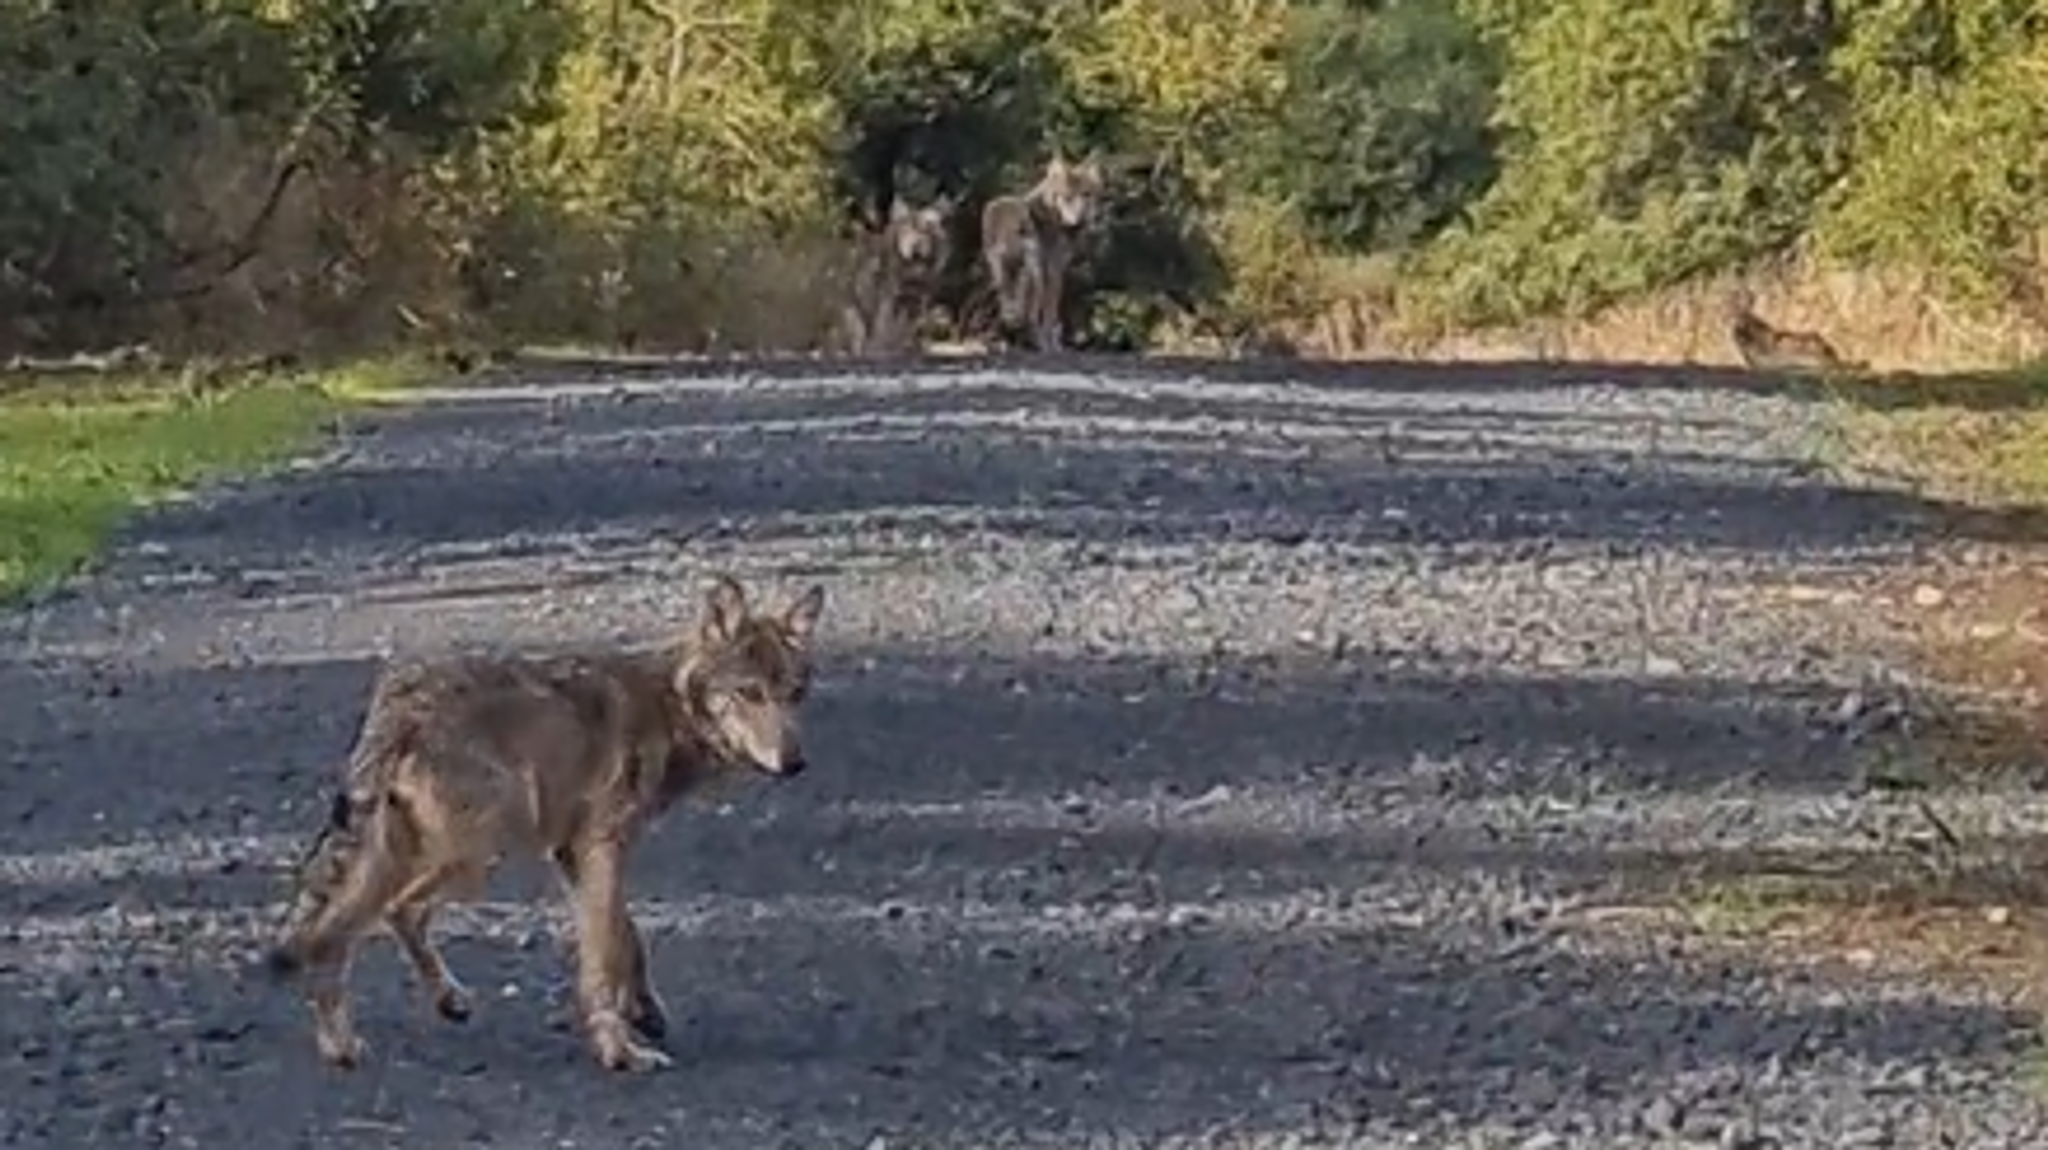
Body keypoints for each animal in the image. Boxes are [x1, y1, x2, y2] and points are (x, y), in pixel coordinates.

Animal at [264, 577, 823, 1072]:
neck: (669, 708)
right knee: (365, 922)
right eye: (749, 693)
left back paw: (411, 1016)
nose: (794, 763)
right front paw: (619, 1052)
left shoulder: (574, 852)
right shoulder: (602, 845)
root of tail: (401, 701)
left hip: (432, 852)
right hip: (474, 853)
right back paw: (350, 1042)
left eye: (794, 694)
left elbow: (626, 934)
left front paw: (643, 1012)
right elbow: (602, 956)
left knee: (375, 921)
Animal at [839, 192, 950, 356]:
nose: (916, 246)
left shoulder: (916, 303)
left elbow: (906, 332)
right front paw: (881, 352)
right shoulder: (888, 300)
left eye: (925, 230)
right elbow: (883, 331)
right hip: (851, 311)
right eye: (906, 231)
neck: (912, 274)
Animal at [974, 152, 1105, 351]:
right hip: (1035, 278)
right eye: (1067, 197)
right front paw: (1053, 346)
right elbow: (1050, 314)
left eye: (1086, 195)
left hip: (1002, 277)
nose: (1078, 220)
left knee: (1004, 311)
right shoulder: (1054, 271)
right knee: (1029, 317)